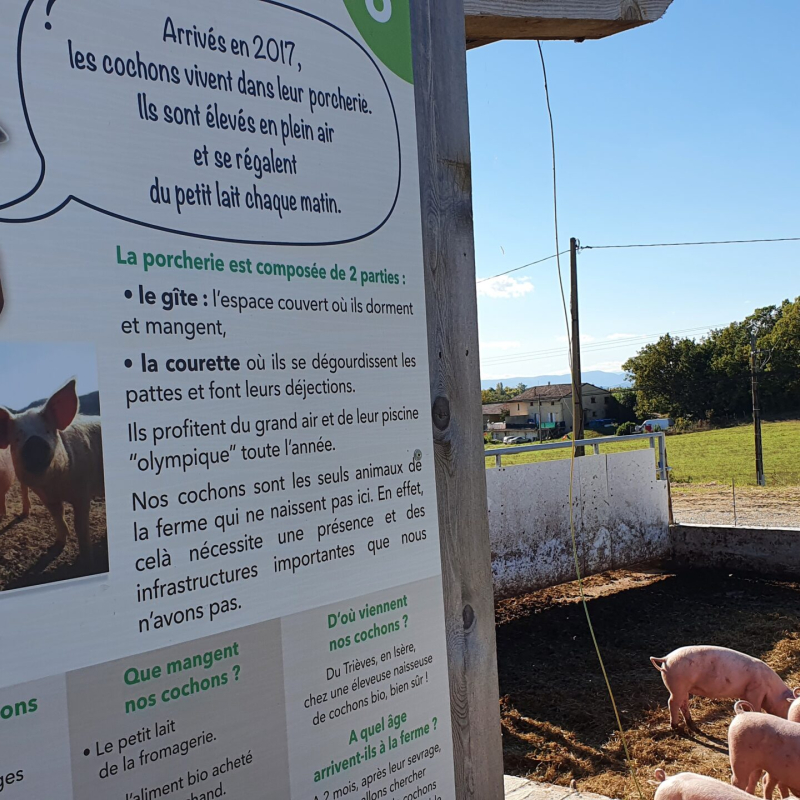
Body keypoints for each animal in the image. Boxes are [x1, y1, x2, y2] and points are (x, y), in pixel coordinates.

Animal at [648, 648, 792, 728]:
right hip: (677, 686)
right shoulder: (755, 692)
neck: (771, 689)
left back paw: (692, 725)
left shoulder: (745, 694)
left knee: (683, 703)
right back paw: (675, 727)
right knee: (672, 702)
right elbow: (755, 708)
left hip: (683, 688)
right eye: (788, 706)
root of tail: (666, 658)